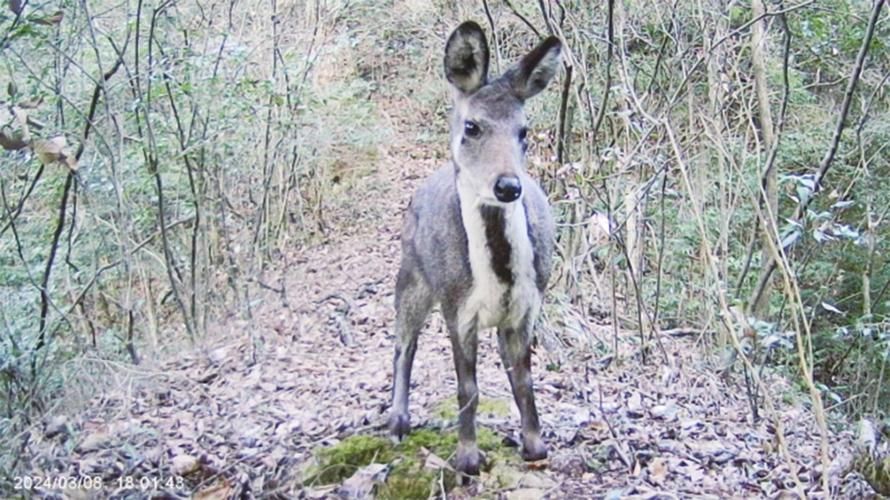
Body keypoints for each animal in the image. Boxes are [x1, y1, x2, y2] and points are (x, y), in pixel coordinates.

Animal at [386, 21, 560, 474]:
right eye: (472, 127)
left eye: (523, 131)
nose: (508, 186)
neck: (497, 276)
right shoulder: (456, 305)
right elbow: (468, 386)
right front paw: (467, 458)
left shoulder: (527, 306)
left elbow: (524, 379)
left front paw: (535, 446)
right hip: (411, 275)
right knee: (403, 344)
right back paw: (397, 421)